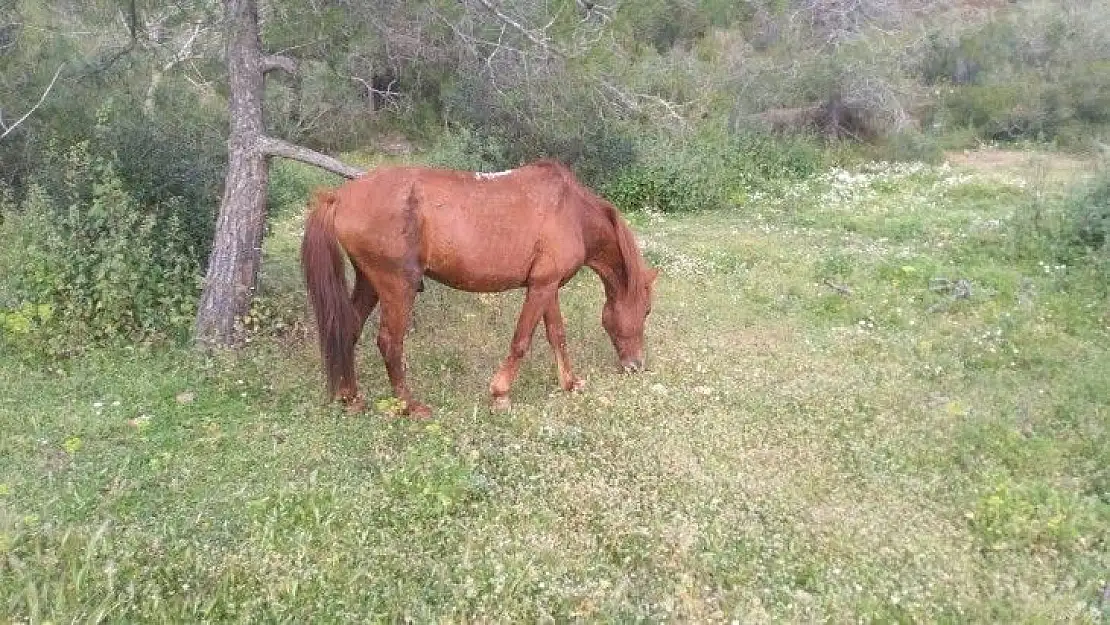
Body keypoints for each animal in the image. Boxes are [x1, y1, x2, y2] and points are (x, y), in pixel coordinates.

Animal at [299, 158, 652, 417]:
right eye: (646, 311)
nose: (636, 365)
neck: (573, 212)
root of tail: (339, 196)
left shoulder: (547, 286)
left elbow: (557, 335)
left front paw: (569, 382)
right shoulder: (540, 288)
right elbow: (521, 341)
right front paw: (500, 394)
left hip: (370, 283)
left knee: (349, 329)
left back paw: (350, 397)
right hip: (398, 286)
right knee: (389, 342)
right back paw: (410, 406)